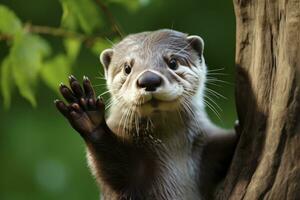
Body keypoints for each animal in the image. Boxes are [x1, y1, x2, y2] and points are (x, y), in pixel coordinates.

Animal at [53, 28, 237, 199]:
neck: (171, 147)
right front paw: (87, 112)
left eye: (173, 62)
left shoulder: (206, 143)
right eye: (127, 68)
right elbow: (113, 165)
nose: (149, 80)